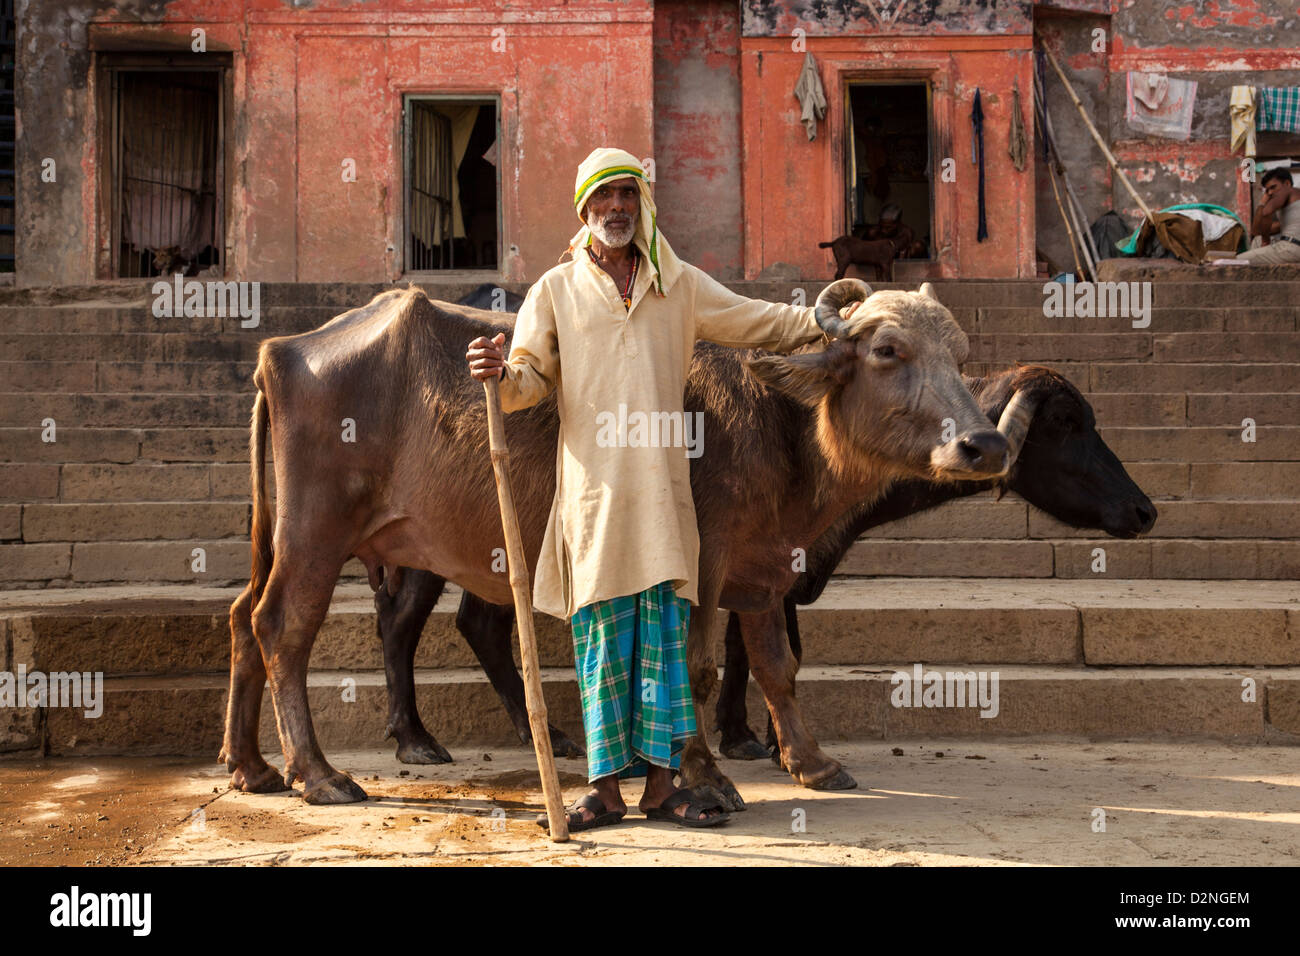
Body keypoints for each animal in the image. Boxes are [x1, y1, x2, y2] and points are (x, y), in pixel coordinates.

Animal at [223, 278, 1013, 806]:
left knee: (242, 618)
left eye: (960, 353)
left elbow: (776, 666)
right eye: (887, 349)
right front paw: (704, 778)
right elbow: (697, 667)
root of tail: (284, 351)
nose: (985, 444)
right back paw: (318, 774)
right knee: (283, 626)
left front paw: (813, 762)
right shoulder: (704, 556)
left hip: (292, 535)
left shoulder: (762, 566)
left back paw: (252, 766)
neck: (778, 416)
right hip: (317, 529)